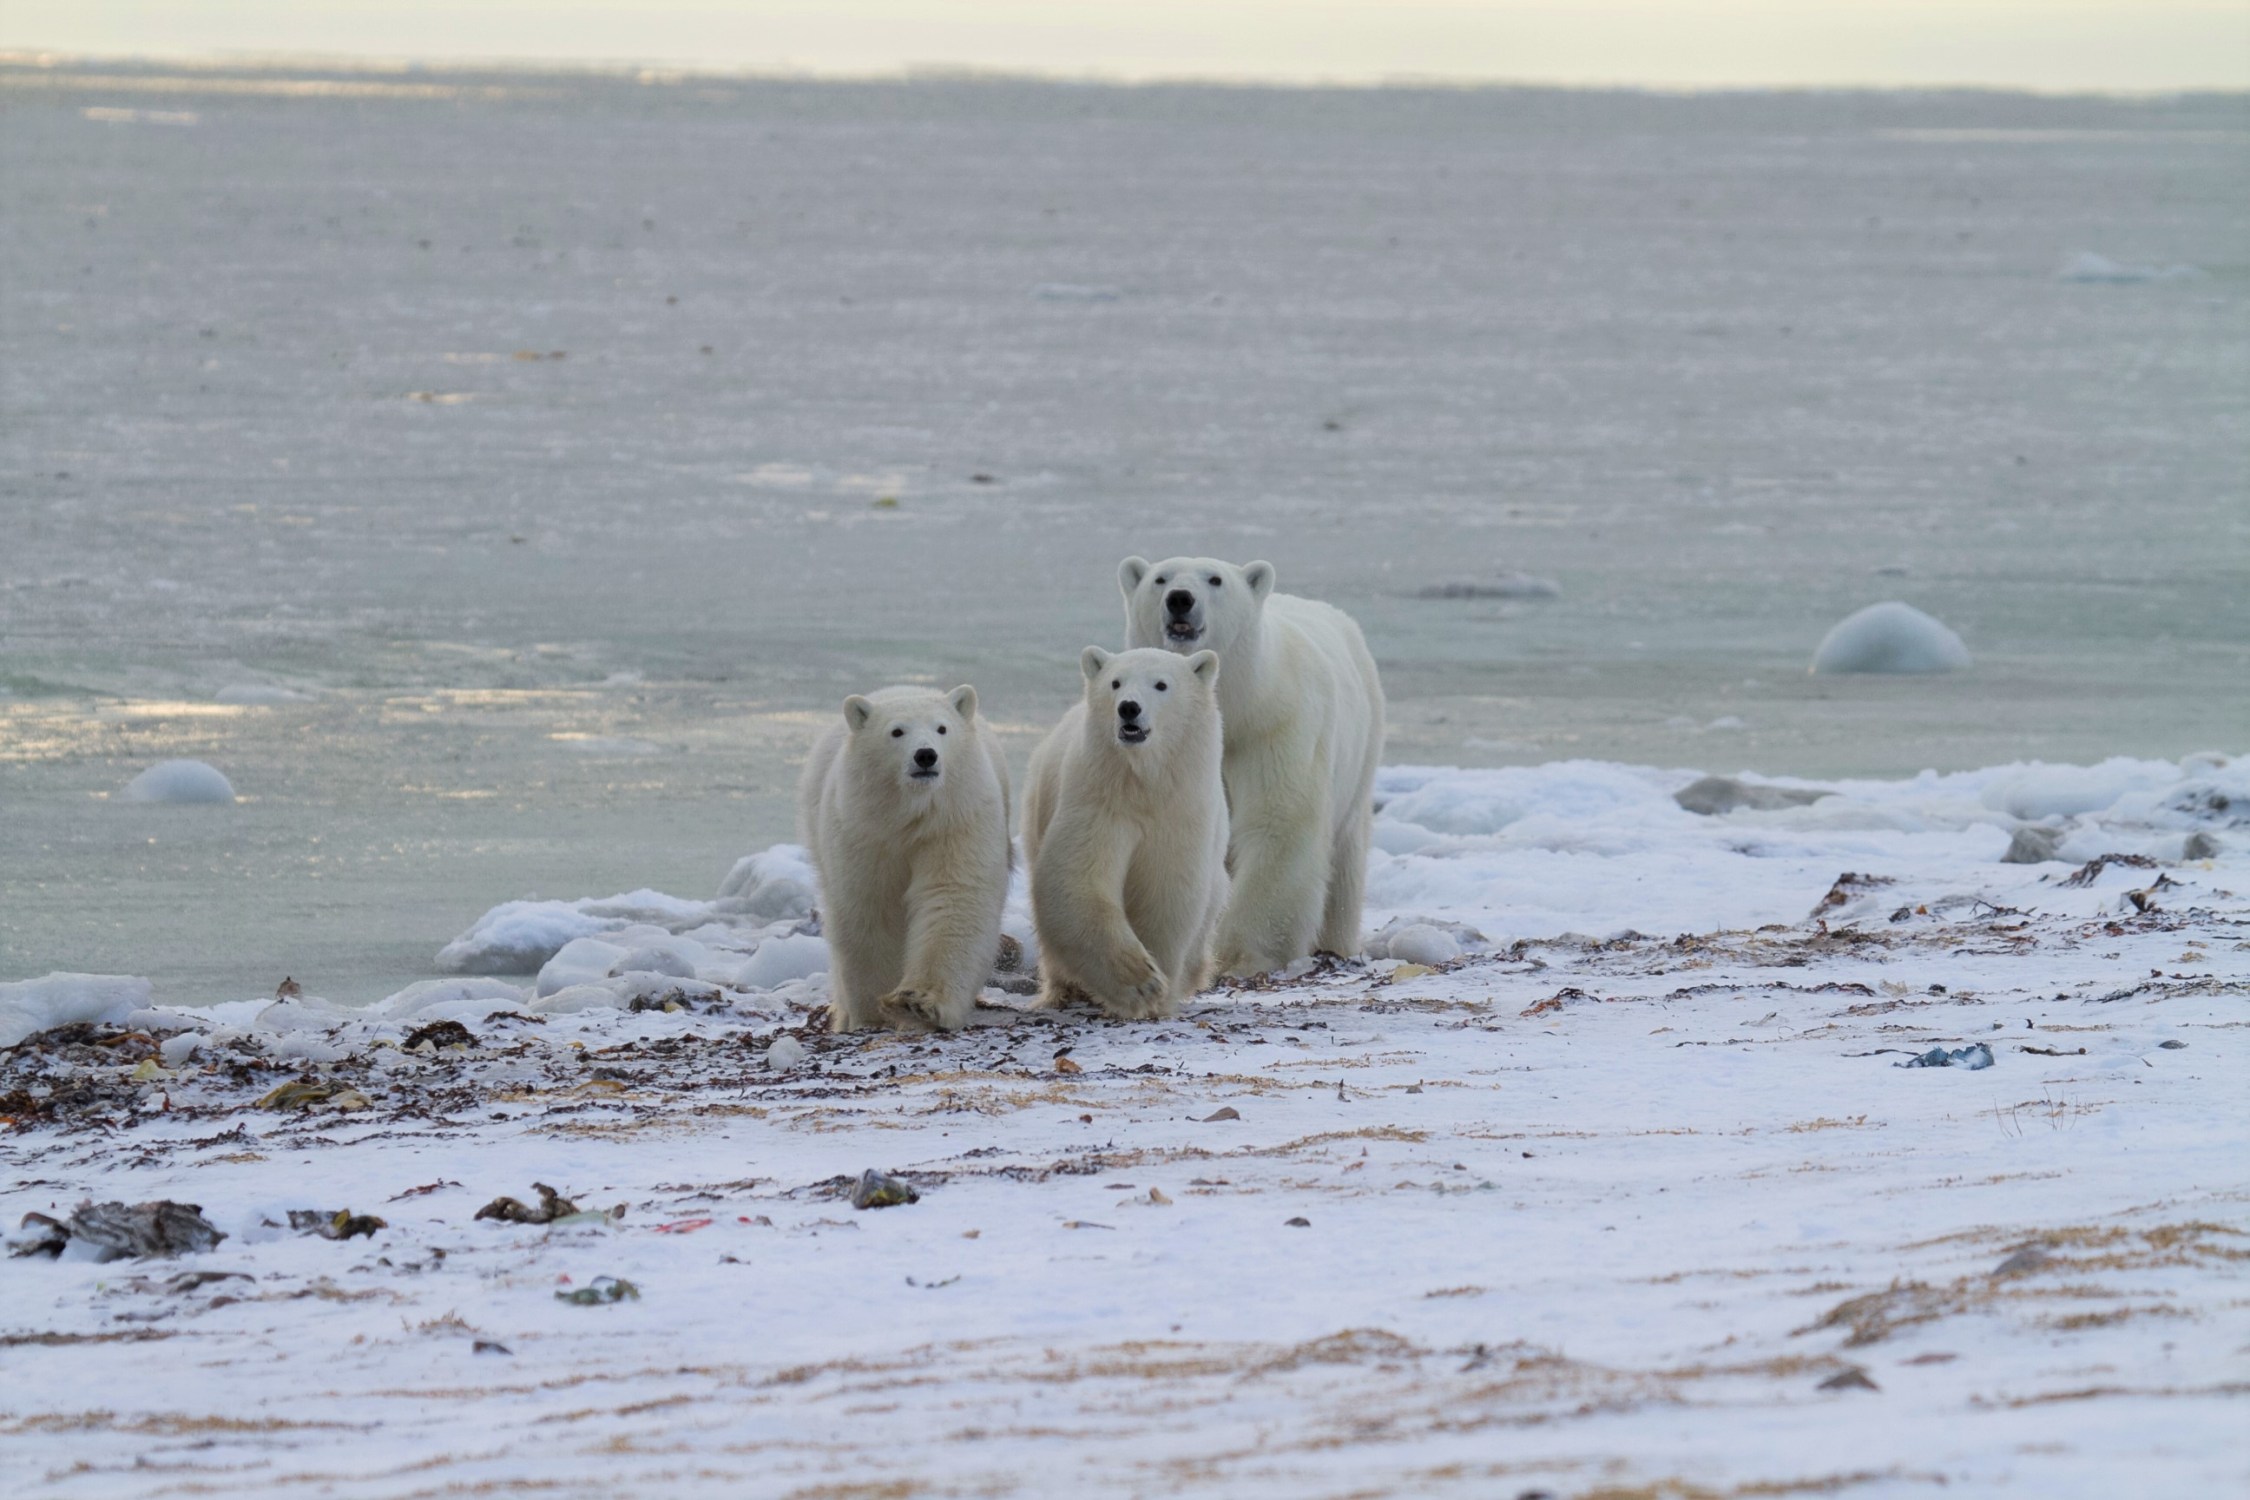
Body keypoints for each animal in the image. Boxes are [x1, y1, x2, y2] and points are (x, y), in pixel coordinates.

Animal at [797, 684, 1012, 1033]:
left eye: (942, 728)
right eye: (896, 731)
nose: (925, 755)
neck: (911, 812)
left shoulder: (956, 820)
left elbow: (953, 897)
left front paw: (919, 1003)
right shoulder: (865, 830)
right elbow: (872, 908)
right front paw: (872, 1013)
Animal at [1021, 646, 1229, 1021]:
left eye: (1161, 684)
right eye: (1115, 682)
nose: (1129, 708)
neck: (1143, 783)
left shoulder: (1179, 809)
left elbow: (1166, 889)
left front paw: (1159, 993)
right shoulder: (1099, 798)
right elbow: (1076, 879)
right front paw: (1143, 984)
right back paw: (1063, 991)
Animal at [1120, 556, 1385, 975]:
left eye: (1215, 579)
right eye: (1160, 578)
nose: (1180, 599)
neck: (1238, 703)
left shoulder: (1274, 727)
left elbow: (1279, 818)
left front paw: (1239, 954)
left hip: (1361, 751)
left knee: (1345, 857)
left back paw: (1337, 941)